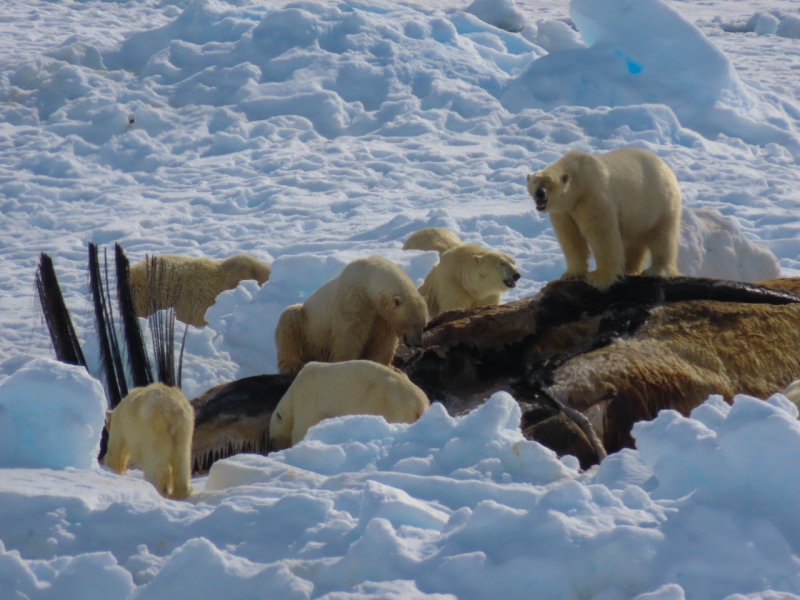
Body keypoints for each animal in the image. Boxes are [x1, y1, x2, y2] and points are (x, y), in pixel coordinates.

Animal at [270, 358, 432, 448]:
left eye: (273, 438)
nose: (274, 446)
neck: (293, 391)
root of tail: (421, 402)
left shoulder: (308, 397)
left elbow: (303, 428)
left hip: (391, 404)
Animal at [274, 254, 428, 376]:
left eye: (424, 324)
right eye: (412, 323)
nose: (418, 343)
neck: (367, 279)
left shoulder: (382, 316)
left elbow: (383, 338)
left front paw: (390, 368)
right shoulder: (353, 301)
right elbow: (350, 334)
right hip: (308, 326)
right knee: (289, 324)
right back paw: (291, 366)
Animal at [524, 149, 680, 292]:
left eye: (549, 183)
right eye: (534, 182)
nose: (539, 193)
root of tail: (665, 166)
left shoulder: (592, 198)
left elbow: (602, 235)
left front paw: (598, 279)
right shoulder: (563, 211)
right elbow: (570, 237)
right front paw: (571, 274)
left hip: (659, 204)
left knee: (662, 236)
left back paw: (656, 271)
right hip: (636, 218)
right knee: (632, 243)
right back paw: (628, 270)